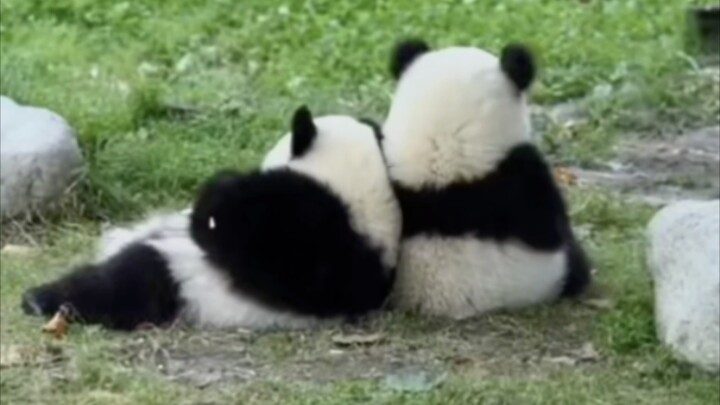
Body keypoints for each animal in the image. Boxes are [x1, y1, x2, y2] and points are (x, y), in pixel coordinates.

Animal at [21, 105, 401, 331]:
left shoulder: (306, 233)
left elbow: (234, 234)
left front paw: (218, 193)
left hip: (185, 282)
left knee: (124, 284)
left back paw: (43, 300)